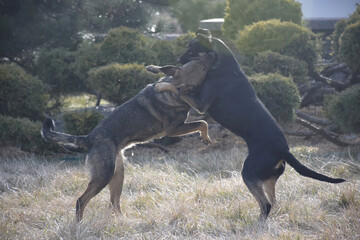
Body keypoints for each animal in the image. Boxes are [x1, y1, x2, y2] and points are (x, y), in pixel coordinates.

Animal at [40, 52, 215, 221]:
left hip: (118, 173)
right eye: (202, 70)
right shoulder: (173, 129)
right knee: (81, 200)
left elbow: (203, 122)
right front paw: (206, 138)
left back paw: (123, 220)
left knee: (113, 203)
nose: (212, 54)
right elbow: (202, 122)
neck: (170, 90)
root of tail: (88, 138)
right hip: (104, 175)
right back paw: (79, 225)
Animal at [178, 28, 346, 219]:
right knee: (273, 201)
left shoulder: (201, 104)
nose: (178, 61)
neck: (222, 63)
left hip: (249, 172)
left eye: (191, 50)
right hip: (266, 178)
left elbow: (184, 89)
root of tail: (284, 150)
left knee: (266, 204)